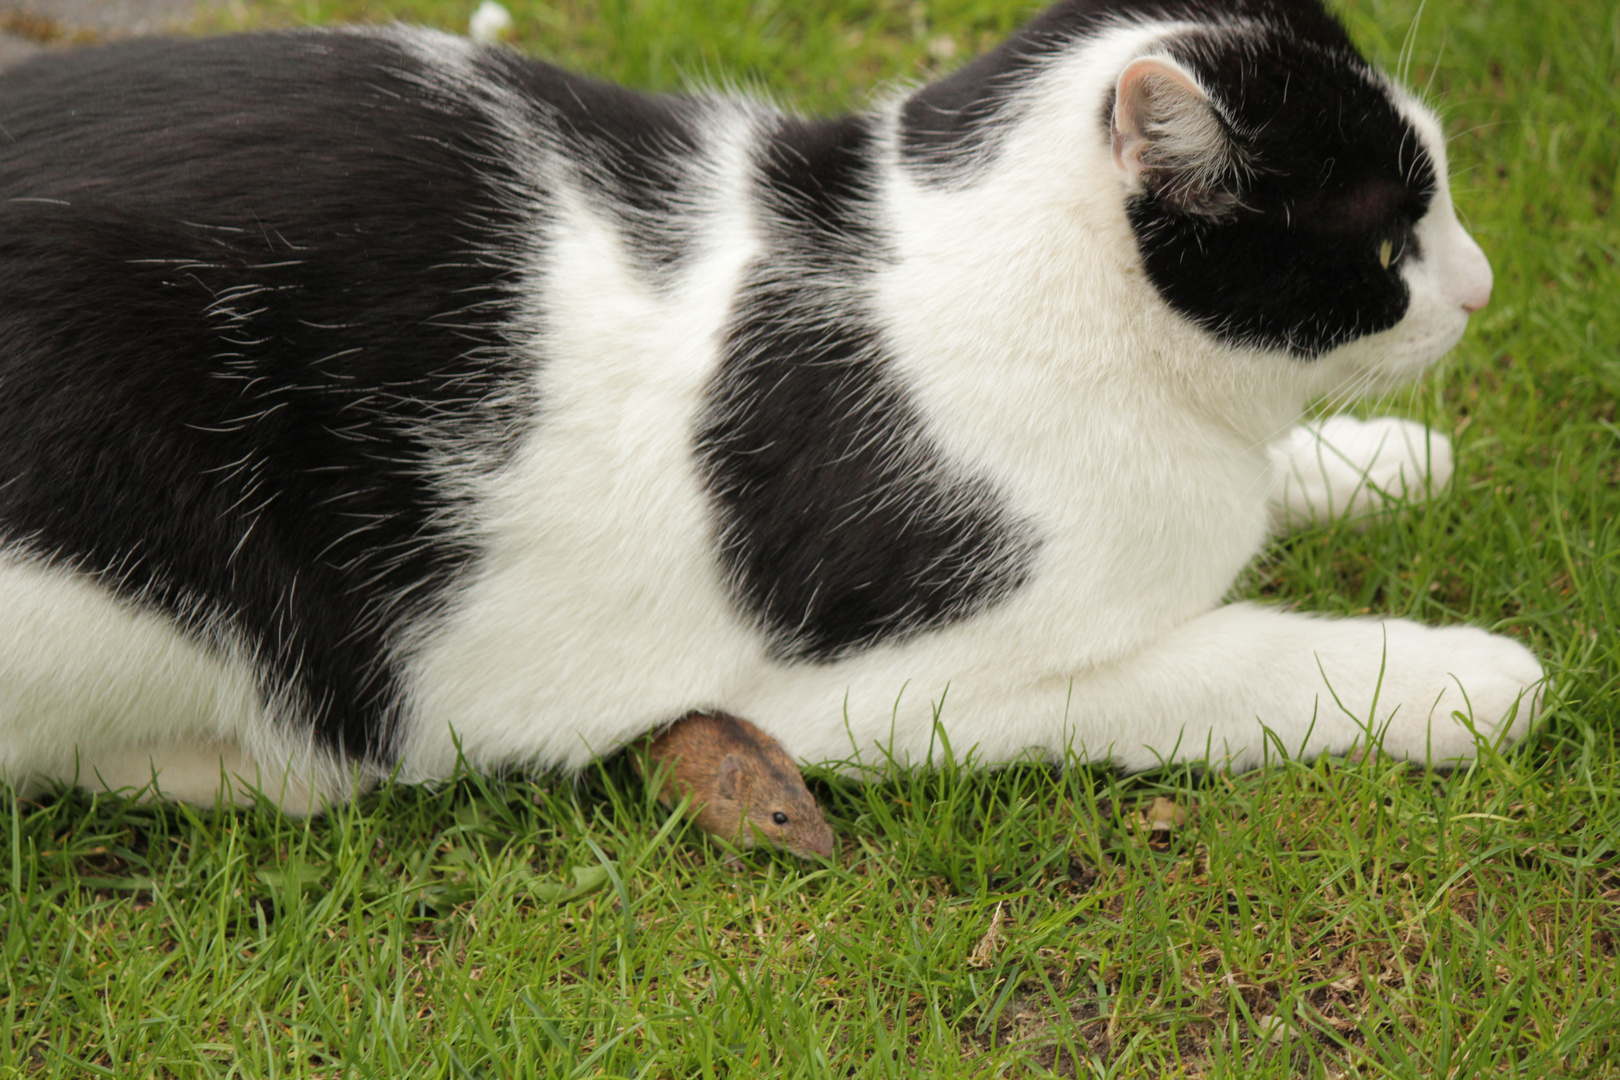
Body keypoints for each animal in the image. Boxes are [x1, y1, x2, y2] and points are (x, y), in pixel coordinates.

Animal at [0, 0, 1542, 809]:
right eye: (1387, 248)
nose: (1479, 287)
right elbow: (1215, 663)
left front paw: (1379, 459)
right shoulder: (869, 698)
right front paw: (1458, 682)